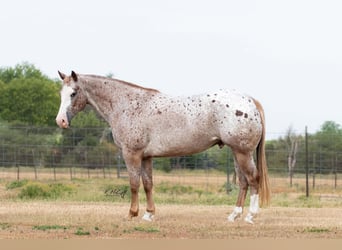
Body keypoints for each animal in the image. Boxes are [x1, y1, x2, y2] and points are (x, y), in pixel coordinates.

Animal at [55, 71, 270, 225]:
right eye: (61, 94)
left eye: (73, 93)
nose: (61, 121)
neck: (127, 105)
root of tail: (250, 101)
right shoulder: (146, 157)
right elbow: (148, 184)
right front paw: (149, 214)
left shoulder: (132, 154)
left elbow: (134, 184)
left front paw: (132, 213)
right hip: (236, 152)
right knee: (243, 182)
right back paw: (234, 215)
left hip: (243, 153)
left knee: (253, 179)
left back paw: (251, 216)